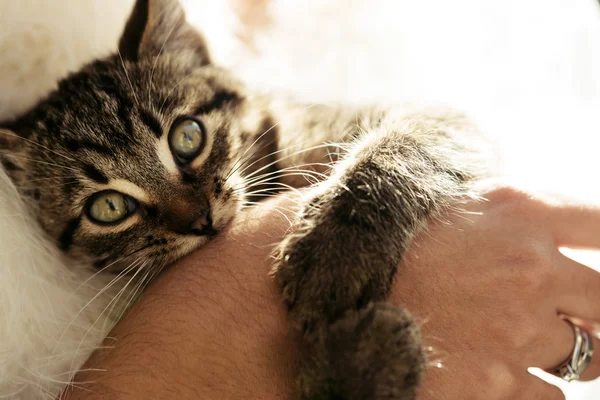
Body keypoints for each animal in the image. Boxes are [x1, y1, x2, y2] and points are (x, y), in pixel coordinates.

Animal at [0, 0, 490, 400]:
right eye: (108, 208)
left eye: (188, 136)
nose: (198, 219)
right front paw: (364, 362)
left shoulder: (444, 117)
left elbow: (400, 146)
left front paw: (338, 252)